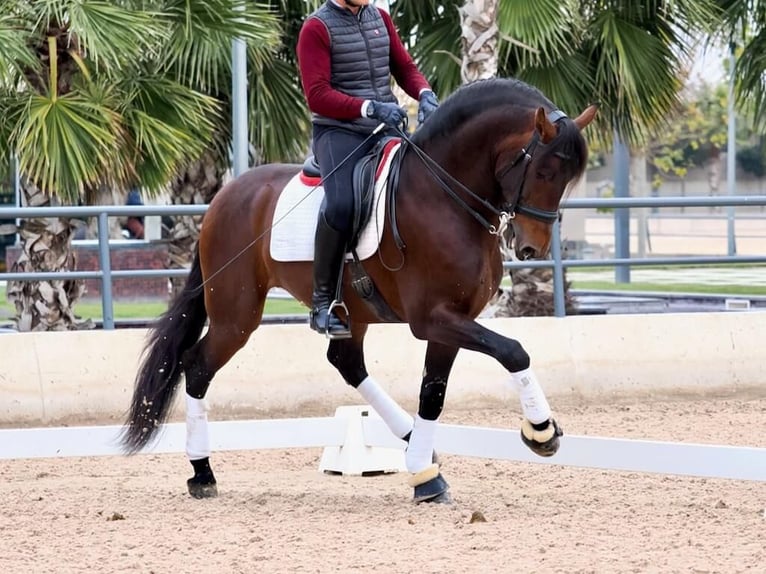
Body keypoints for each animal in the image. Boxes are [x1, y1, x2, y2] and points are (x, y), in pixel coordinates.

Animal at [121, 77, 600, 504]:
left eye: (565, 178)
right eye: (543, 170)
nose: (532, 247)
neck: (444, 196)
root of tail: (223, 197)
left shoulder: (452, 320)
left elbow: (433, 393)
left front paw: (424, 474)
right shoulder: (432, 318)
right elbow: (513, 351)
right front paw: (541, 431)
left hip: (351, 310)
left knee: (346, 362)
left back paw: (410, 440)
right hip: (236, 314)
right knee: (198, 367)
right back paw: (201, 472)